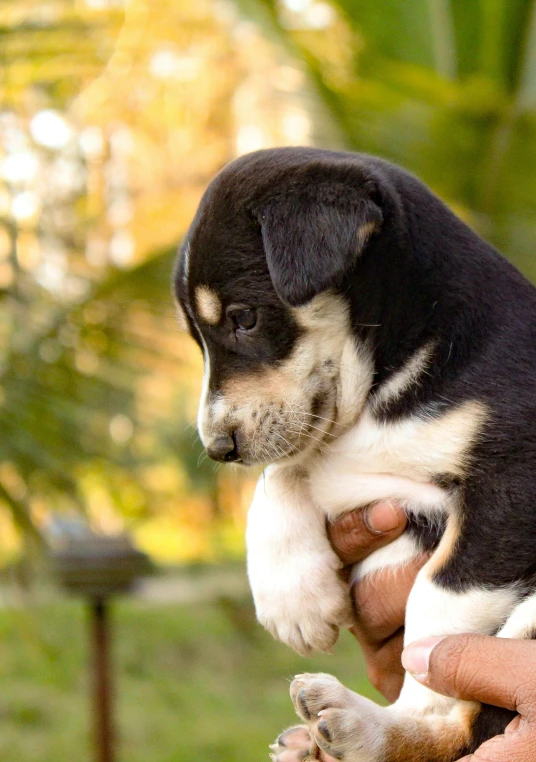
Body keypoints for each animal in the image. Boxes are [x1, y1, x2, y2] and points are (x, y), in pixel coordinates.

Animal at [173, 147, 536, 760]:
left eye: (245, 317)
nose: (219, 449)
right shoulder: (356, 468)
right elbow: (286, 468)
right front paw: (293, 600)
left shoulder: (511, 483)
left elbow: (437, 603)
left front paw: (426, 676)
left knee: (466, 727)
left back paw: (363, 723)